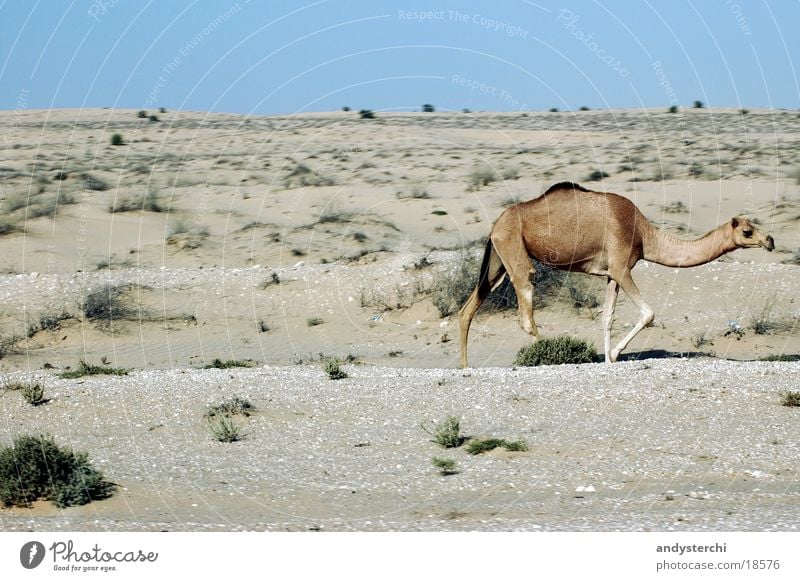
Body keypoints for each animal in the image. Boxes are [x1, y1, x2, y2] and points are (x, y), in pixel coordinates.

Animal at [462, 180, 776, 368]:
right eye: (747, 231)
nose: (770, 240)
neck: (645, 235)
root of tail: (495, 224)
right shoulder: (622, 267)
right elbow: (648, 313)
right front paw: (613, 355)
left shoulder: (611, 274)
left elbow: (607, 318)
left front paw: (608, 360)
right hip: (514, 250)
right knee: (526, 311)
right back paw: (551, 356)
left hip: (497, 261)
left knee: (470, 307)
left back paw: (464, 364)